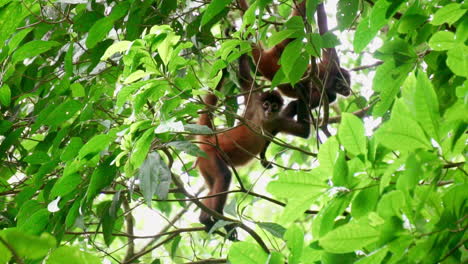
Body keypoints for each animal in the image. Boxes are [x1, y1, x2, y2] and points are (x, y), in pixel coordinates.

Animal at [196, 54, 308, 238]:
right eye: (266, 104)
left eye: (274, 106)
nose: (269, 110)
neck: (263, 120)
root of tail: (211, 137)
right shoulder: (254, 103)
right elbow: (244, 77)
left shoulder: (277, 121)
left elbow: (304, 131)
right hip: (211, 155)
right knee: (224, 176)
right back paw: (219, 220)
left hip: (204, 164)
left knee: (213, 186)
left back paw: (205, 219)